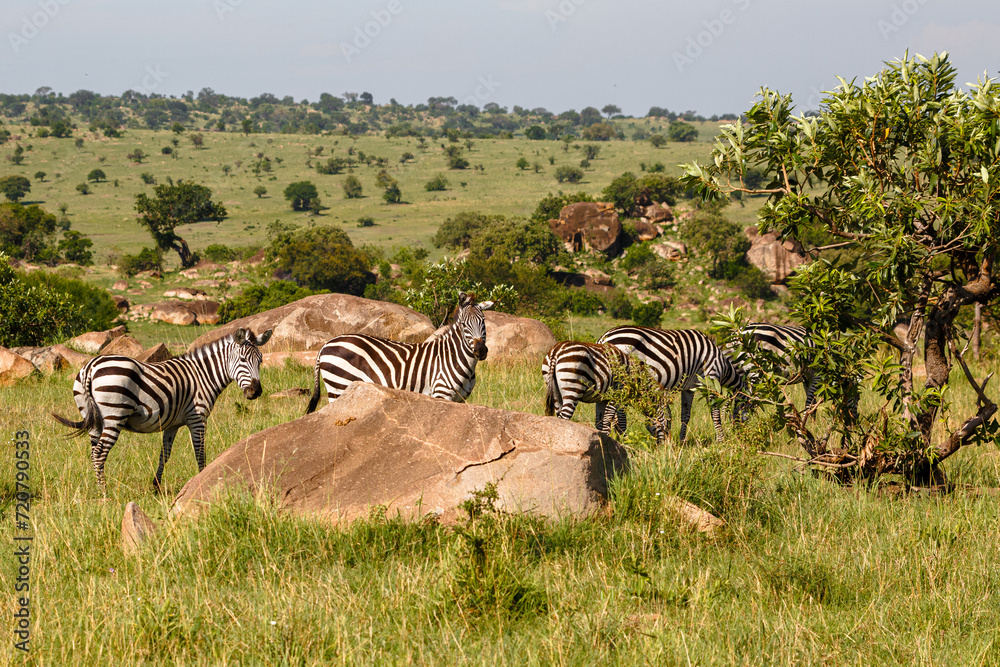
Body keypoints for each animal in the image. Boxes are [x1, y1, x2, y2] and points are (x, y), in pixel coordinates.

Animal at [52, 328, 272, 493]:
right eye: (243, 360)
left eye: (260, 360)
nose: (256, 392)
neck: (203, 375)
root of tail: (90, 366)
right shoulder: (197, 417)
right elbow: (200, 452)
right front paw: (201, 480)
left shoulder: (172, 424)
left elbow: (164, 454)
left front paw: (156, 486)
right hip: (114, 415)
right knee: (99, 453)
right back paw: (104, 493)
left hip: (93, 419)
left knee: (93, 452)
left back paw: (97, 487)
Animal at [305, 292, 494, 413]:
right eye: (463, 324)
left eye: (483, 322)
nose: (480, 351)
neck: (455, 357)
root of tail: (326, 344)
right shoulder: (441, 393)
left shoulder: (460, 399)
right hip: (339, 385)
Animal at [542, 341, 671, 440]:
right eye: (669, 422)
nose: (666, 448)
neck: (635, 380)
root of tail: (556, 351)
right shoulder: (618, 396)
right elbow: (618, 421)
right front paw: (622, 441)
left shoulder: (601, 400)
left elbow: (599, 422)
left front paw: (602, 441)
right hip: (573, 388)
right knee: (564, 417)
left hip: (555, 392)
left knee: (559, 419)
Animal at [598, 326, 747, 443]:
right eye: (748, 408)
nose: (742, 436)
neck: (724, 366)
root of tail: (603, 338)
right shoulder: (710, 378)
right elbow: (715, 413)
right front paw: (721, 440)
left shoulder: (689, 388)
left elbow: (685, 415)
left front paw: (682, 440)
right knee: (611, 412)